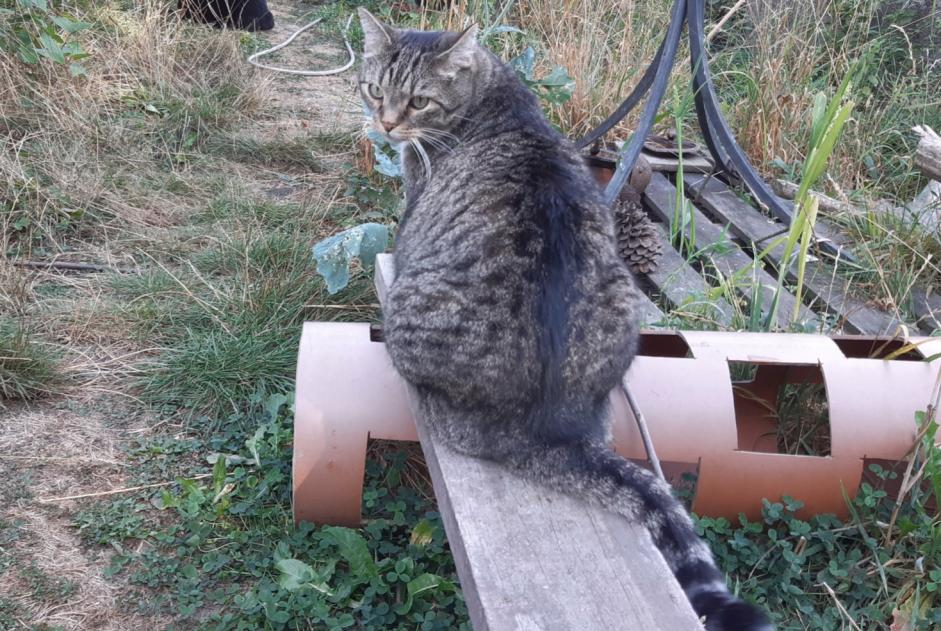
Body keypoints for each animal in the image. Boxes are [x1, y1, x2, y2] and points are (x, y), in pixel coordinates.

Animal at [358, 8, 772, 628]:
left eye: (419, 102)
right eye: (374, 89)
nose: (385, 125)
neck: (494, 96)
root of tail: (547, 427)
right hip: (624, 304)